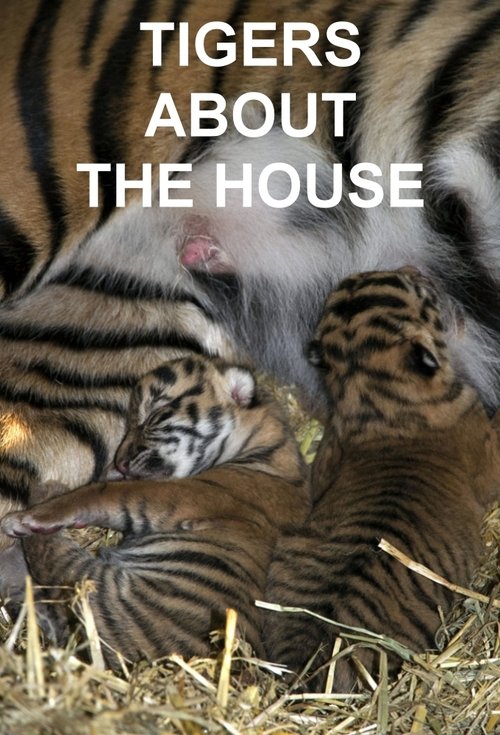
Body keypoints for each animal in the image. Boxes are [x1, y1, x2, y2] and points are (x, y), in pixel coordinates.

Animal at [1, 355, 309, 666]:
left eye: (153, 417)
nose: (121, 462)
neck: (267, 449)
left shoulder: (179, 495)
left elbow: (99, 493)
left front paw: (30, 516)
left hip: (88, 586)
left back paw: (38, 500)